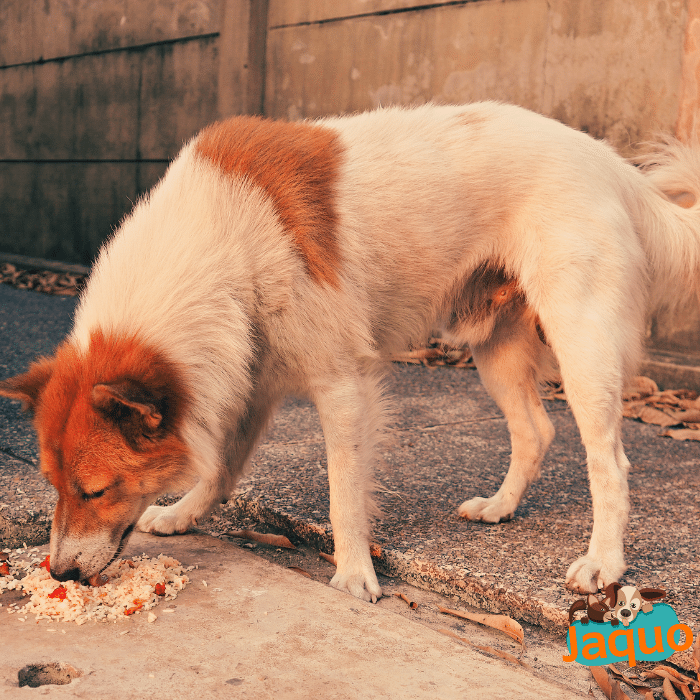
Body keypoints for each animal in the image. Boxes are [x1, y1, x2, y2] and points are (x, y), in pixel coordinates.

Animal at [1, 102, 700, 600]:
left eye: (95, 490)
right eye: (52, 485)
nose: (59, 575)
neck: (219, 244)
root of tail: (612, 166)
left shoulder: (343, 388)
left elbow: (344, 493)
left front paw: (356, 574)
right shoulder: (250, 379)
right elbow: (220, 468)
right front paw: (182, 514)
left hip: (583, 347)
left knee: (609, 463)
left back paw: (603, 565)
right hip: (493, 348)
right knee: (535, 431)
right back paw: (500, 508)